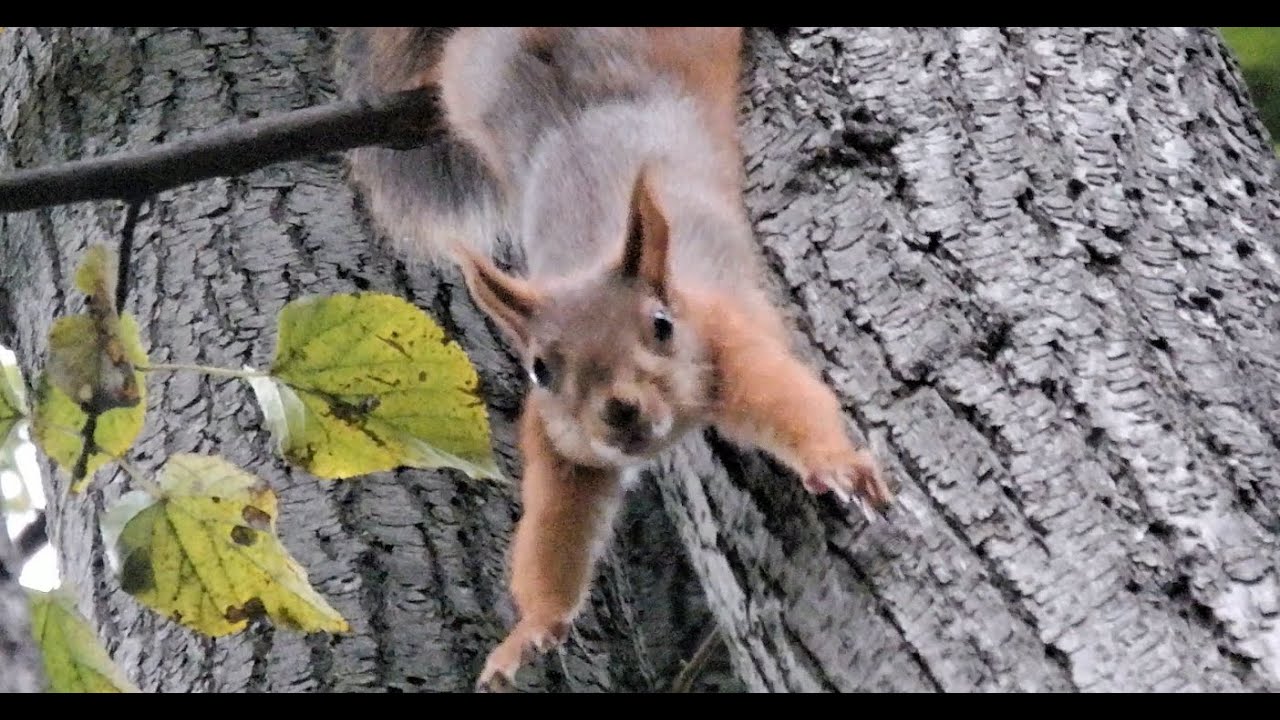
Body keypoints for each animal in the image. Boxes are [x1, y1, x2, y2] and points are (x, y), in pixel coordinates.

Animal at [337, 27, 894, 691]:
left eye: (661, 327)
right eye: (540, 369)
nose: (619, 410)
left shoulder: (729, 342)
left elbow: (791, 402)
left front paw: (836, 463)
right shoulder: (559, 441)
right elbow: (557, 521)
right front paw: (528, 631)